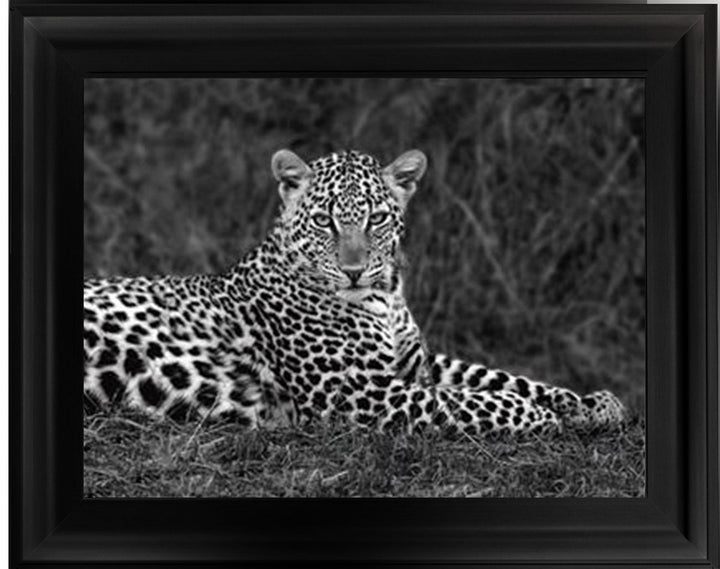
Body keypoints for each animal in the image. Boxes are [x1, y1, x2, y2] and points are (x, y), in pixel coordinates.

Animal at [84, 148, 626, 438]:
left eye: (377, 218)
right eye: (325, 220)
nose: (354, 271)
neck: (386, 296)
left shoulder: (416, 364)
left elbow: (495, 377)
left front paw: (591, 403)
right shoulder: (355, 392)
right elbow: (469, 401)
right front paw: (542, 415)